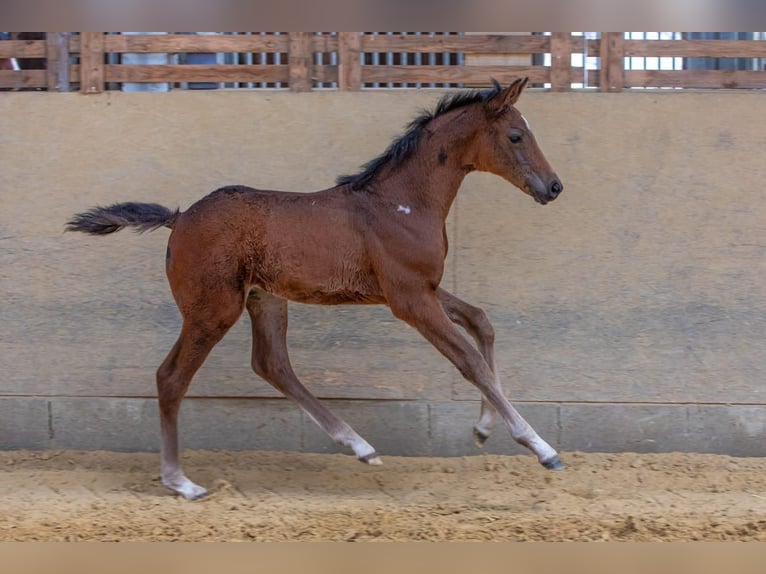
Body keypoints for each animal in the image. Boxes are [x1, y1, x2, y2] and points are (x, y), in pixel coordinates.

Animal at [69, 76, 568, 500]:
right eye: (516, 136)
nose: (554, 187)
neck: (400, 204)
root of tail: (180, 218)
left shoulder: (420, 288)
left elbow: (482, 323)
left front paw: (484, 430)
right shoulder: (409, 299)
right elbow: (469, 361)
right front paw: (541, 447)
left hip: (265, 299)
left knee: (272, 364)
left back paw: (360, 446)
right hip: (213, 310)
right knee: (172, 377)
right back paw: (181, 482)